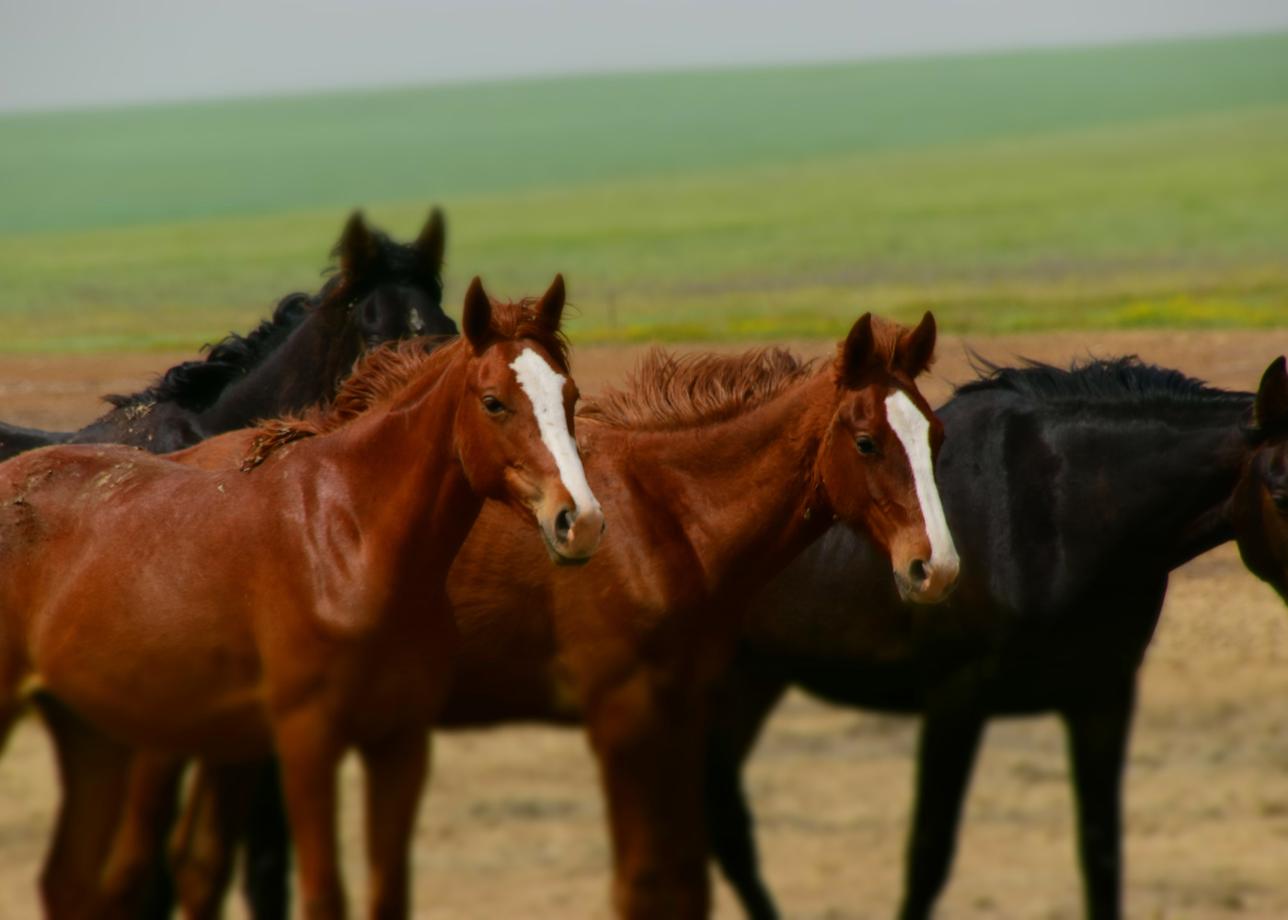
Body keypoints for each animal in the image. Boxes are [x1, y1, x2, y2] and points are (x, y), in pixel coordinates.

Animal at [0, 274, 600, 917]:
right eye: (493, 402)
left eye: (570, 395)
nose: (580, 521)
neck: (350, 539)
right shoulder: (307, 742)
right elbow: (321, 894)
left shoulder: (401, 744)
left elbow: (388, 892)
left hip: (93, 733)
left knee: (71, 880)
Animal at [695, 353, 1267, 917]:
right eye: (1279, 489)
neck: (1056, 513)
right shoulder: (956, 698)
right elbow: (928, 854)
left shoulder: (1102, 697)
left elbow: (1101, 852)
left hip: (751, 681)